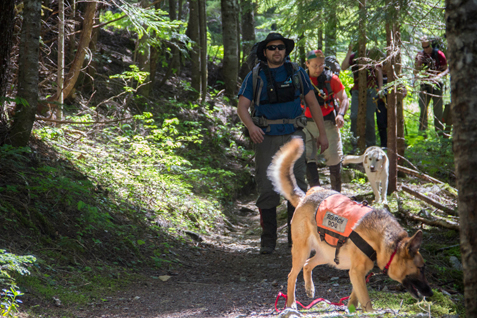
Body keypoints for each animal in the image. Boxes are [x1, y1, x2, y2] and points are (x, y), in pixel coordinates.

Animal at [266, 138, 434, 312]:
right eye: (421, 268)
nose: (431, 293)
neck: (382, 239)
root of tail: (307, 195)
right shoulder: (356, 273)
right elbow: (367, 302)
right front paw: (370, 313)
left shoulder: (358, 274)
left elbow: (355, 298)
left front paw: (351, 310)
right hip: (302, 251)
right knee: (292, 275)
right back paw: (291, 303)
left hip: (326, 255)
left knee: (307, 265)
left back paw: (309, 289)